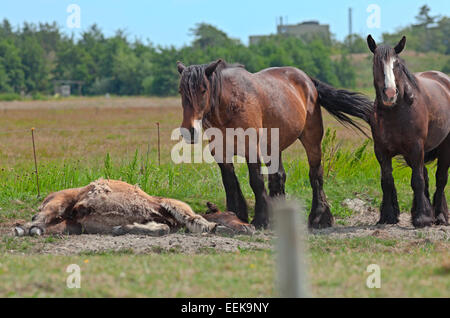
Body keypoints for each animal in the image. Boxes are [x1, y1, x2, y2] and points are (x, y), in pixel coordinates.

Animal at [176, 59, 372, 229]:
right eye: (181, 91)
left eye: (203, 89)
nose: (189, 130)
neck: (230, 104)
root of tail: (308, 80)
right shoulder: (221, 152)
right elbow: (230, 182)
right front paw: (235, 215)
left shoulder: (251, 149)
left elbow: (256, 181)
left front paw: (261, 220)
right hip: (273, 146)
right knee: (278, 177)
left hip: (312, 140)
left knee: (315, 175)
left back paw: (319, 218)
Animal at [368, 36, 448, 227]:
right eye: (376, 63)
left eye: (396, 64)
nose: (390, 94)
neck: (396, 111)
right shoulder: (381, 151)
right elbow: (387, 181)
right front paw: (388, 216)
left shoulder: (416, 148)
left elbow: (417, 180)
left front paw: (422, 218)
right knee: (426, 176)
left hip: (444, 147)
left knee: (440, 178)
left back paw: (440, 215)